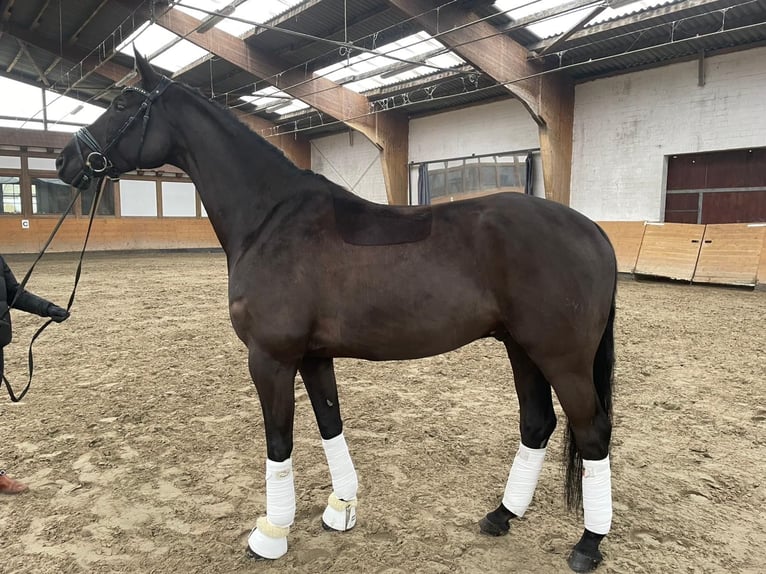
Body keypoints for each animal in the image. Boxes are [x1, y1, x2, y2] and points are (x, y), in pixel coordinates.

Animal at [60, 51, 620, 572]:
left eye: (122, 103)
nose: (68, 160)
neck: (270, 219)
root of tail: (592, 231)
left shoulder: (270, 358)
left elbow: (279, 440)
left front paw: (271, 532)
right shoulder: (312, 356)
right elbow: (330, 422)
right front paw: (341, 507)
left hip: (562, 358)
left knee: (592, 431)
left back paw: (588, 543)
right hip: (521, 348)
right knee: (537, 423)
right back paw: (502, 515)